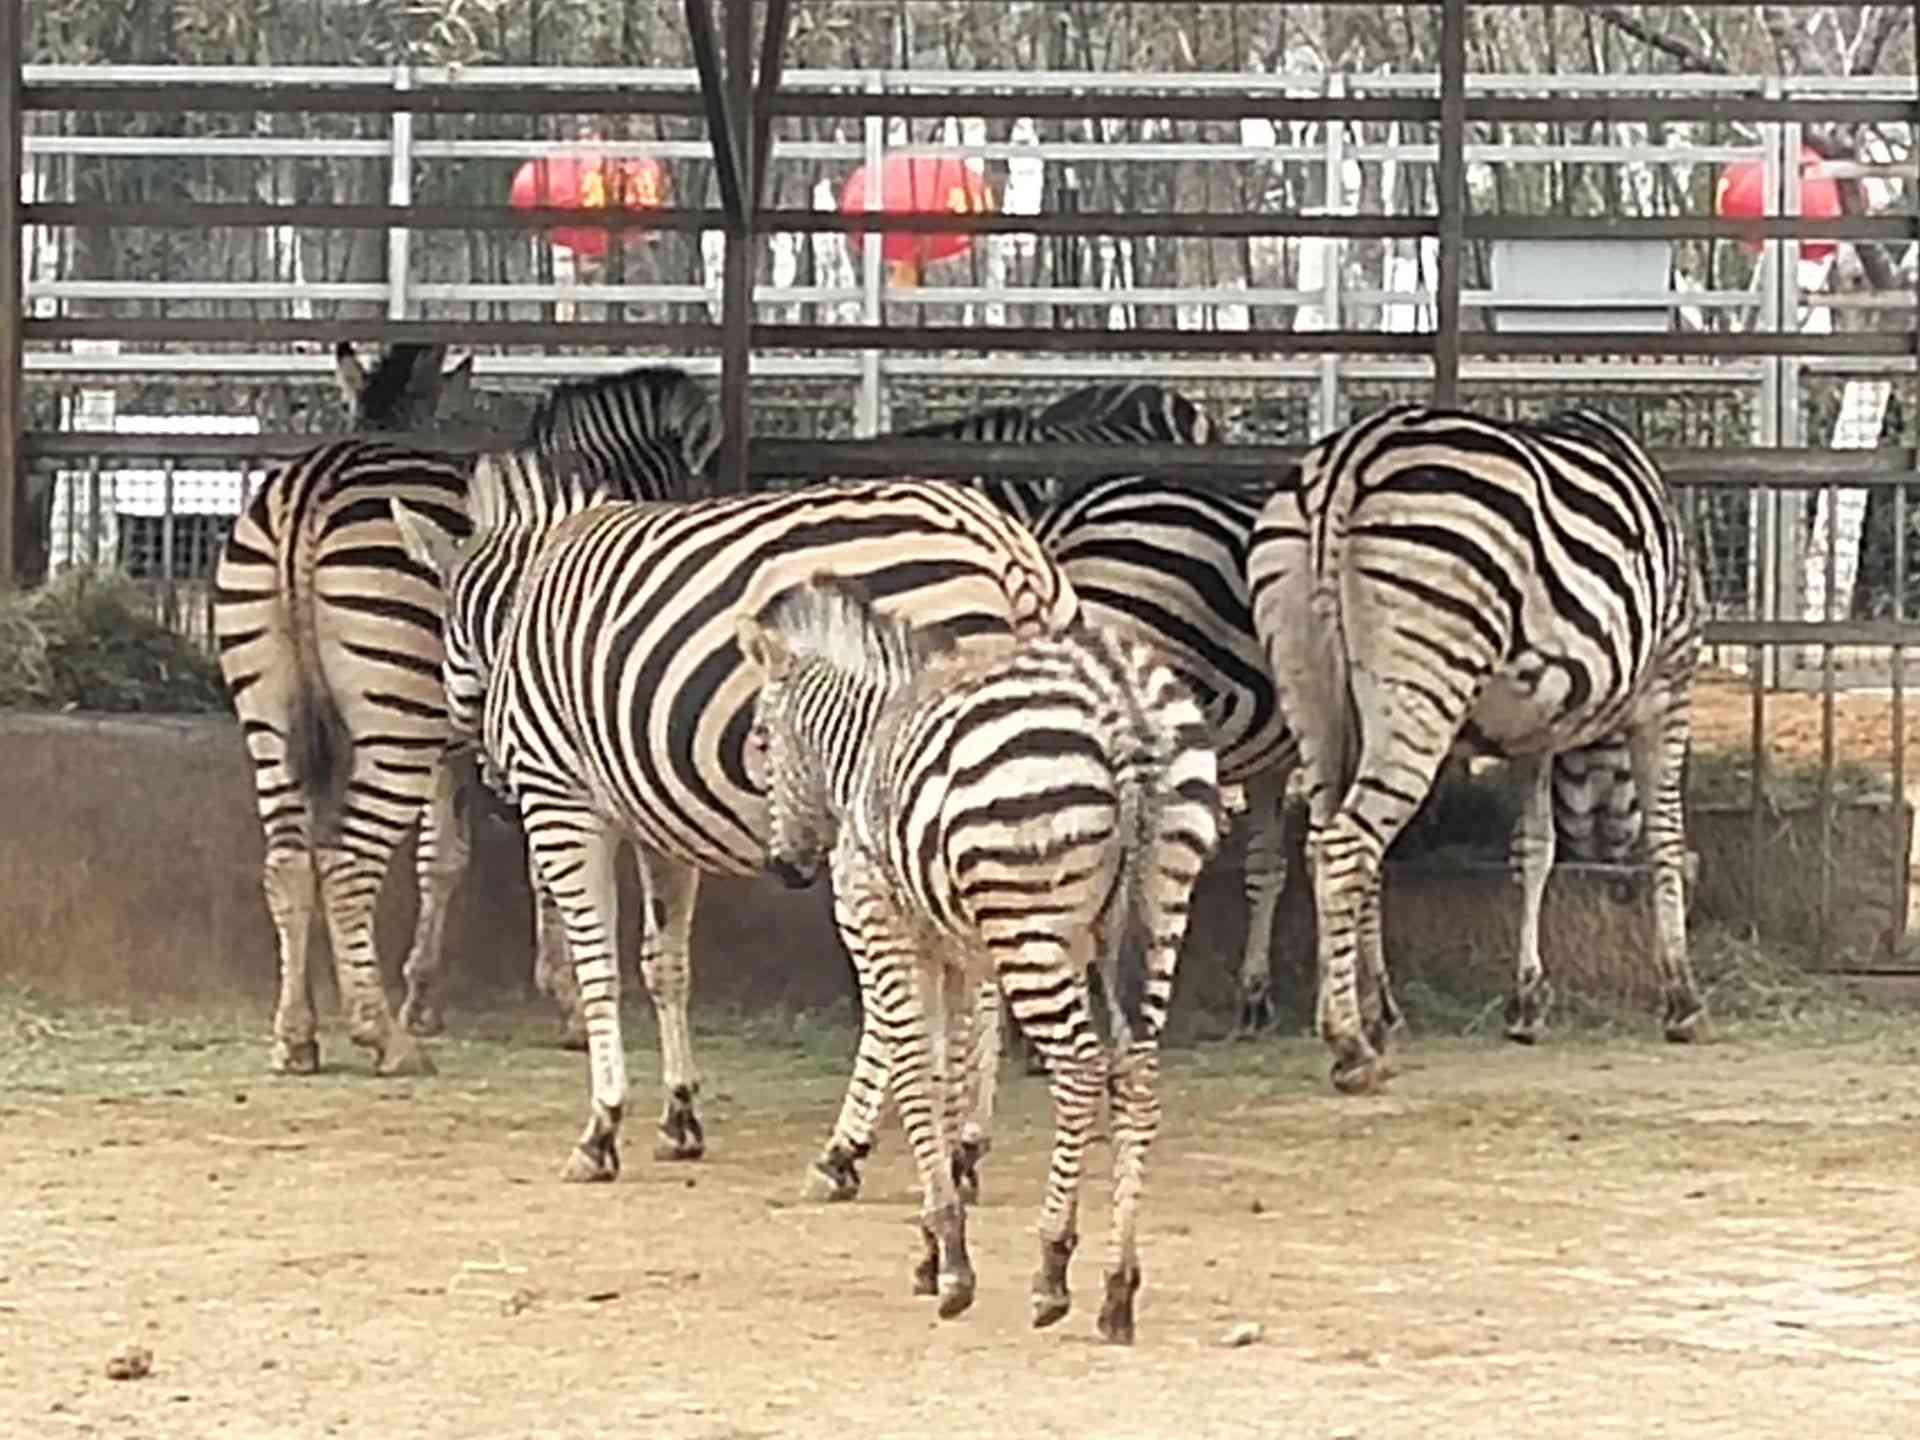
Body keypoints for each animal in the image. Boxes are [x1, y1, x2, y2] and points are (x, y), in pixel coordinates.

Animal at [212, 349, 721, 1075]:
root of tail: (314, 486)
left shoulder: (454, 749)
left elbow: (442, 860)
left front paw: (421, 997)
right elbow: (543, 868)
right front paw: (566, 1002)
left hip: (271, 715)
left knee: (286, 864)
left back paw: (298, 1035)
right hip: (392, 725)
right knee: (346, 864)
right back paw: (383, 1040)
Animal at [391, 439, 1090, 1182]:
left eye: (445, 630)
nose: (487, 776)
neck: (525, 605)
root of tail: (1007, 545)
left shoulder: (561, 798)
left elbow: (599, 964)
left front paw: (601, 1125)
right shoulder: (659, 824)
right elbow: (664, 966)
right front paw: (679, 1117)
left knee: (906, 990)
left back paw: (849, 1148)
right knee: (982, 979)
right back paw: (965, 1141)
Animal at [733, 572, 1213, 1344]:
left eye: (761, 739)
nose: (787, 866)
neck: (866, 744)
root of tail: (1121, 701)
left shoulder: (879, 929)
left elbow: (912, 1074)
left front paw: (951, 1258)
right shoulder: (958, 952)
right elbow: (948, 1076)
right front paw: (935, 1245)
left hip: (1031, 921)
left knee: (1080, 1069)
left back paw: (1052, 1269)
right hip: (1162, 908)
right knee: (1137, 1076)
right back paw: (1117, 1288)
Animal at [1244, 407, 1712, 1090]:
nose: (1610, 851)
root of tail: (1348, 462)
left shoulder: (1536, 730)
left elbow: (1535, 848)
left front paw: (1527, 1002)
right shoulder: (1667, 686)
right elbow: (1668, 839)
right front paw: (1683, 1001)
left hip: (1312, 693)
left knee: (1323, 844)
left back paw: (1374, 1017)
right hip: (1422, 681)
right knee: (1346, 847)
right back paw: (1351, 1046)